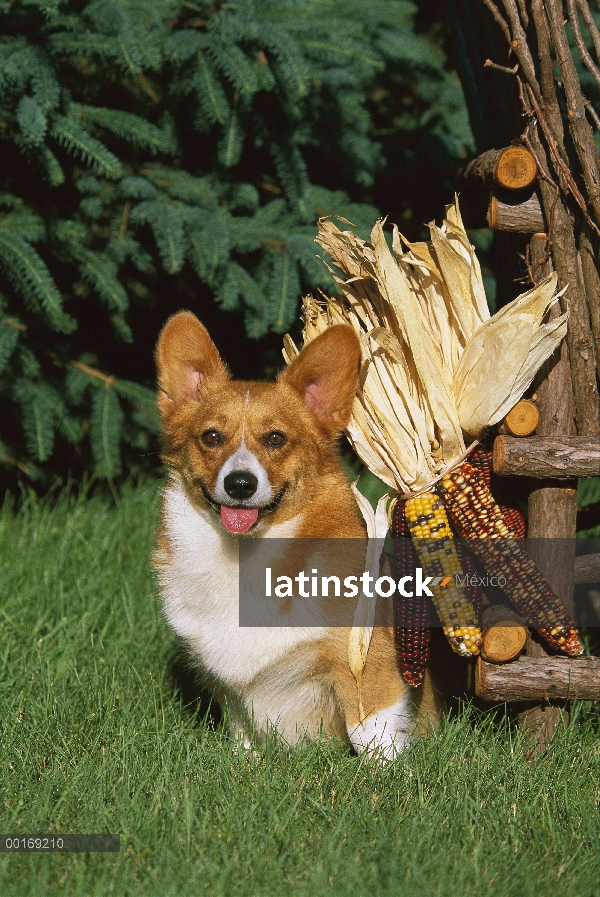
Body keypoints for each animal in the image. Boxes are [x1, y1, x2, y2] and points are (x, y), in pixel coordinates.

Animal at [155, 310, 436, 756]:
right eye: (211, 437)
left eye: (276, 438)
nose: (239, 484)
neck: (245, 557)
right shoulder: (231, 693)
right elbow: (243, 737)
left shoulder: (367, 665)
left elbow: (371, 735)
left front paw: (385, 773)